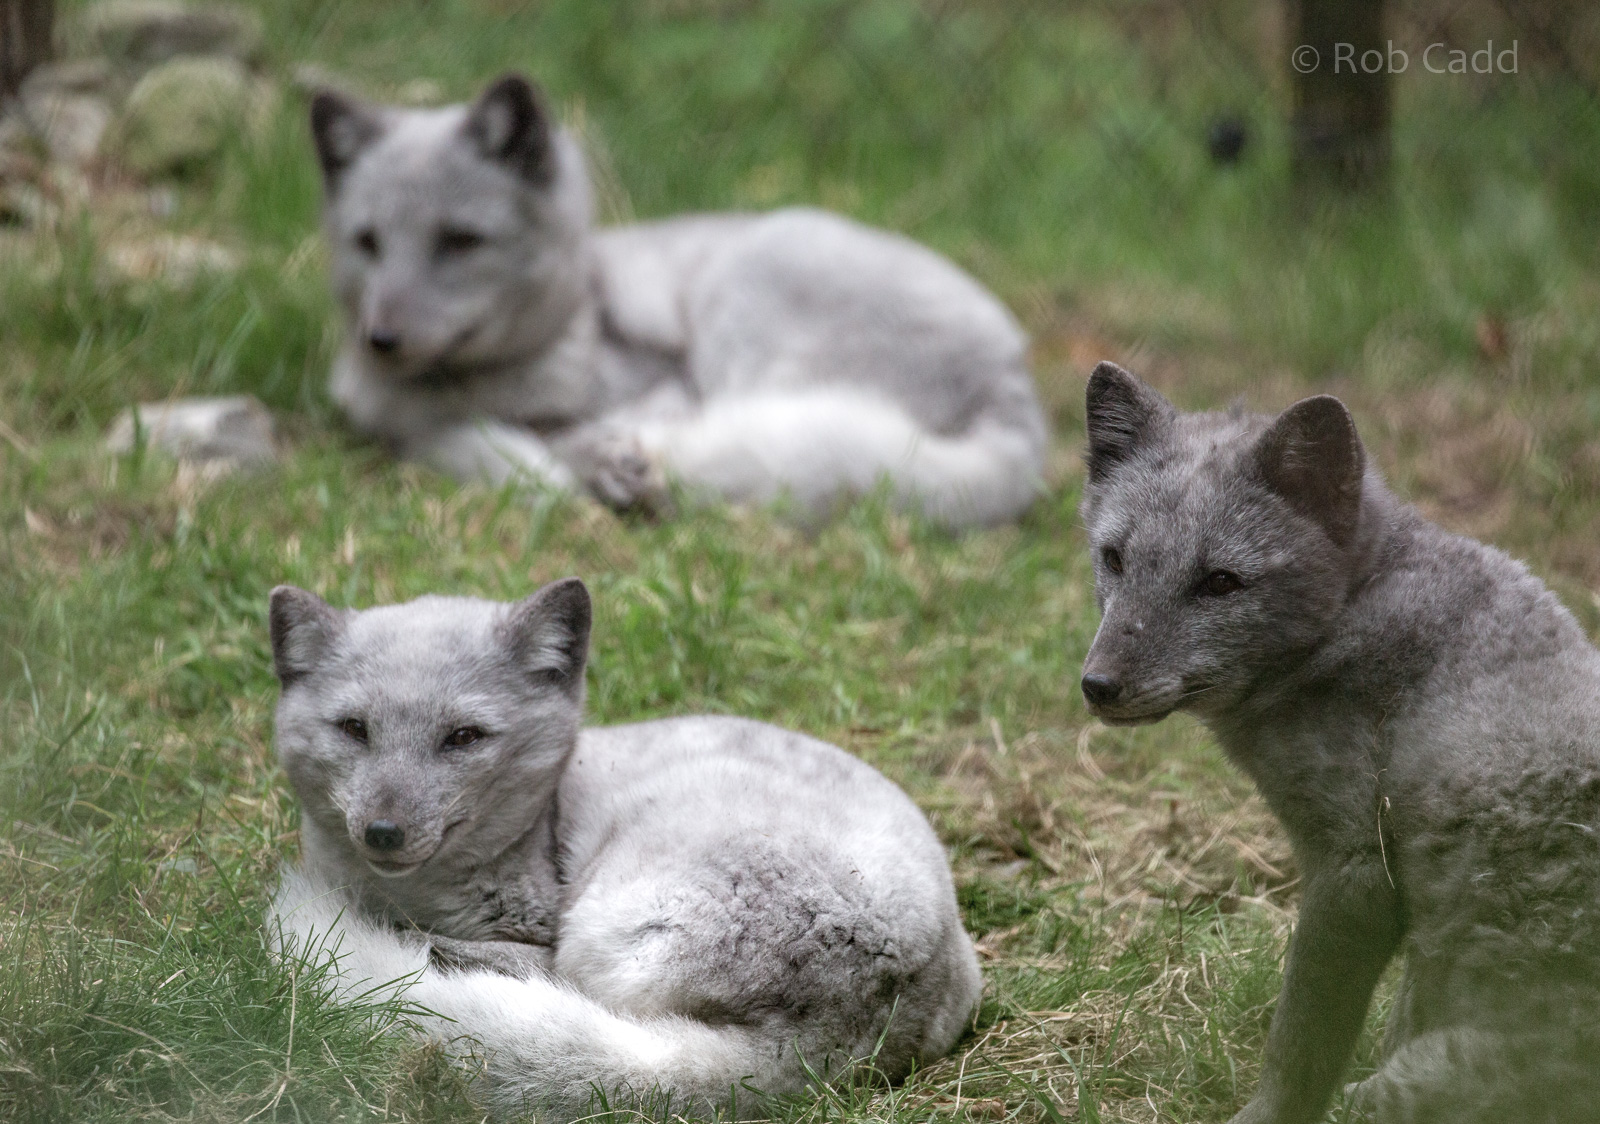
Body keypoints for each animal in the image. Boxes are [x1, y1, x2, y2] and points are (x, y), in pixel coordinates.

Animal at [264, 577, 981, 1121]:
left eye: (464, 737)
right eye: (354, 729)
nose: (383, 832)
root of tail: (835, 1039)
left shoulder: (544, 917)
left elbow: (534, 953)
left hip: (611, 922)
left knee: (568, 983)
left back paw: (437, 952)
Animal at [307, 73, 1048, 529]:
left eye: (460, 241)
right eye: (368, 242)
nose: (381, 340)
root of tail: (1017, 389)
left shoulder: (669, 384)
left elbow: (572, 435)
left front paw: (590, 461)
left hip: (746, 287)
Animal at [1077, 362, 1600, 1124]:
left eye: (1220, 582)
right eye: (1114, 559)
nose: (1099, 686)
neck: (1357, 608)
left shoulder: (1355, 870)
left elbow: (1299, 1044)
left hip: (1410, 1083)